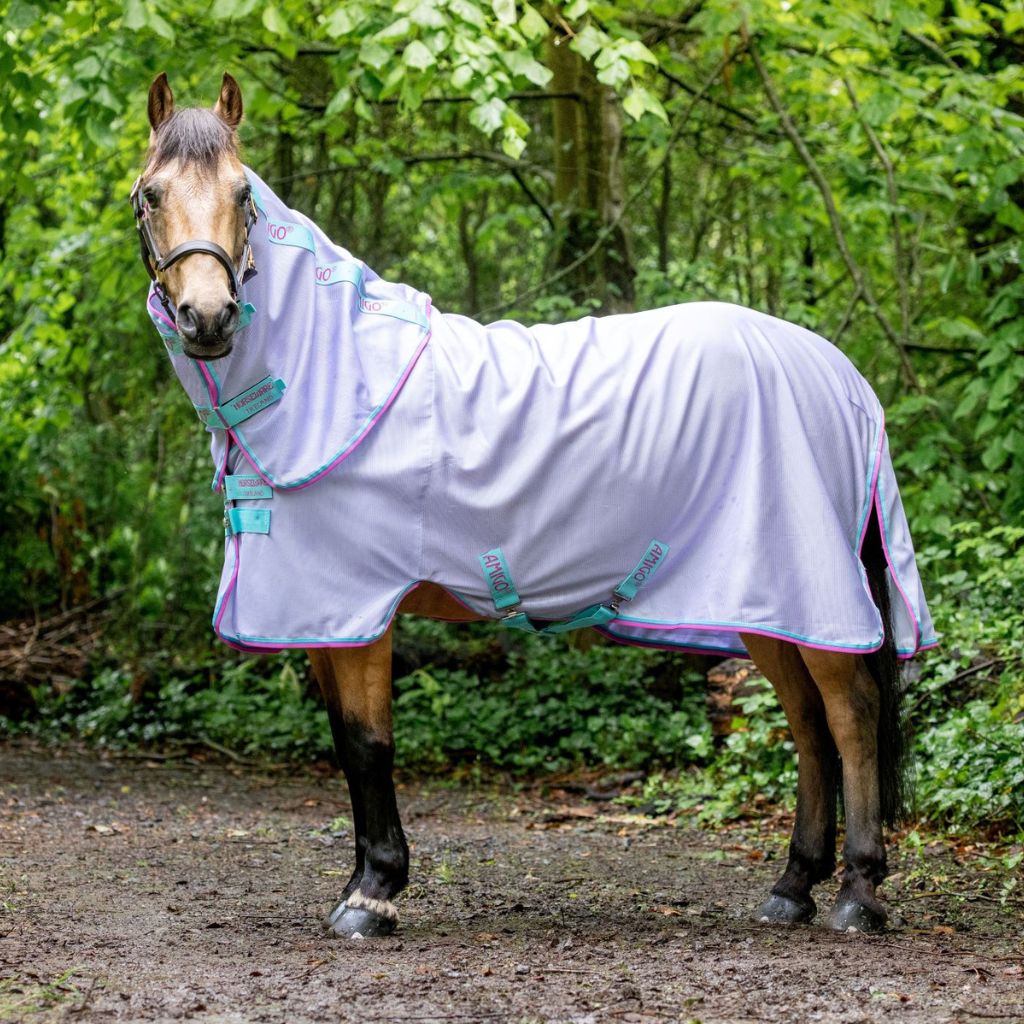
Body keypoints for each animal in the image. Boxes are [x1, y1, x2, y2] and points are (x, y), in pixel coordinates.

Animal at [131, 72, 936, 940]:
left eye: (244, 195)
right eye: (151, 194)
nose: (208, 318)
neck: (339, 374)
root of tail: (839, 373)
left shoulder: (360, 609)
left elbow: (370, 744)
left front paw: (372, 893)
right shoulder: (320, 616)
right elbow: (347, 744)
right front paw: (365, 881)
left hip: (813, 593)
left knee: (850, 715)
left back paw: (858, 893)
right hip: (766, 602)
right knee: (808, 727)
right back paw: (792, 886)